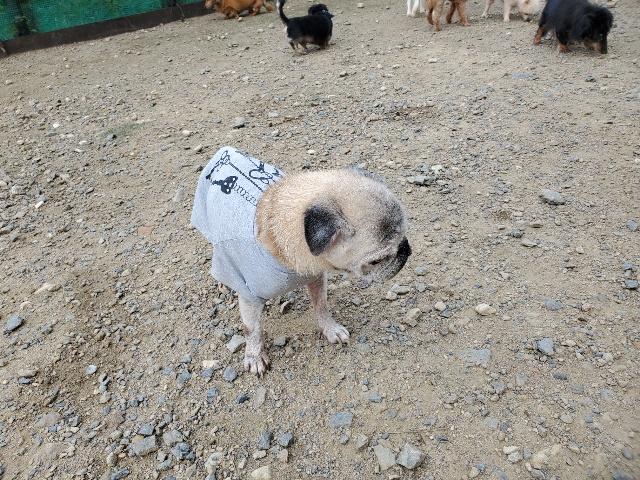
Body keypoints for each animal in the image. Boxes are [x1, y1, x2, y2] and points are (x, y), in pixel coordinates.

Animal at [192, 147, 411, 377]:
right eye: (378, 261)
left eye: (405, 237)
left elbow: (321, 305)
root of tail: (225, 150)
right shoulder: (250, 297)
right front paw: (255, 355)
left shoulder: (317, 277)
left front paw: (330, 328)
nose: (406, 250)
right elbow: (252, 330)